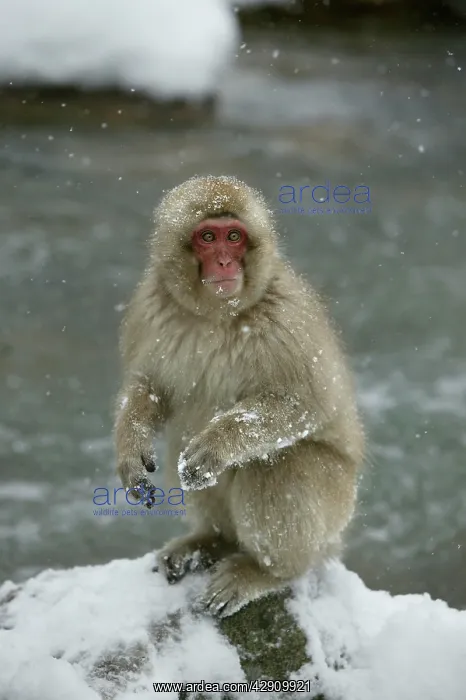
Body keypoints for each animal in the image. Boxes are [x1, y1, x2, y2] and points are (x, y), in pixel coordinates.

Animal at [114, 175, 365, 618]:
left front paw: (217, 445)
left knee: (277, 464)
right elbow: (147, 388)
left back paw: (268, 572)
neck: (216, 314)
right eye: (207, 237)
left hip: (337, 506)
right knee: (183, 446)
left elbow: (304, 404)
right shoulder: (148, 308)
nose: (225, 264)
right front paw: (130, 450)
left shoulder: (286, 320)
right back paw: (212, 542)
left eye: (234, 237)